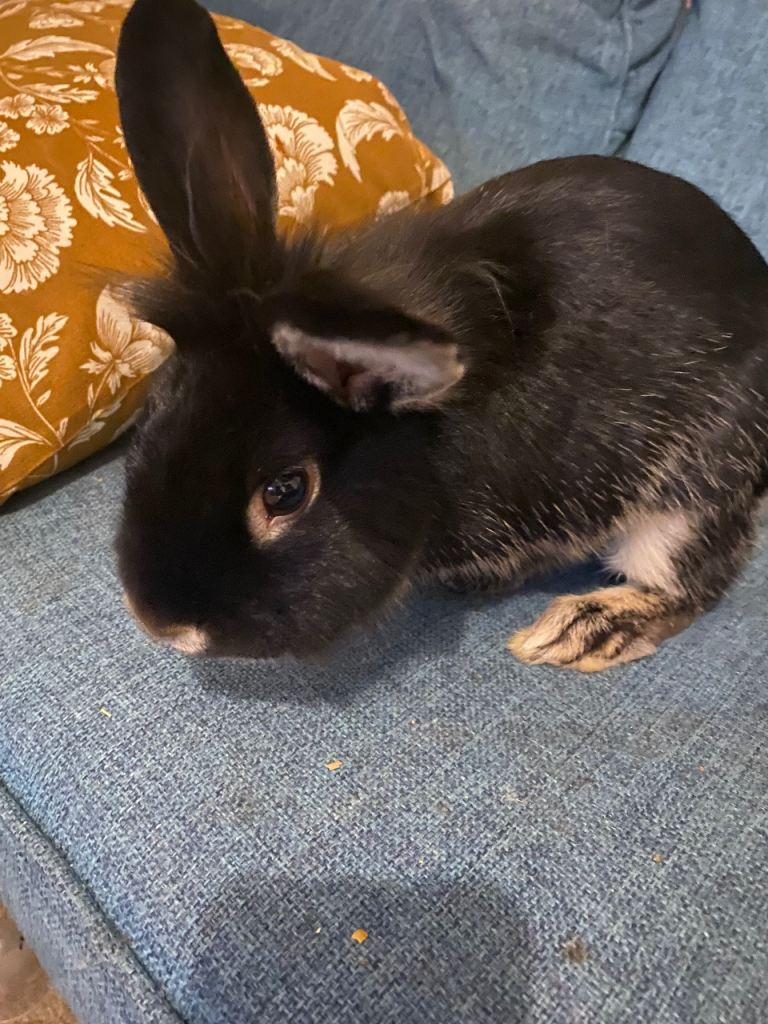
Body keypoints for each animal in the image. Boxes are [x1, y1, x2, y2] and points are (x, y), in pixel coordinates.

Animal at [115, 0, 768, 670]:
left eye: (286, 492)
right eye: (150, 418)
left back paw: (580, 629)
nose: (161, 624)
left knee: (687, 581)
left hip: (693, 484)